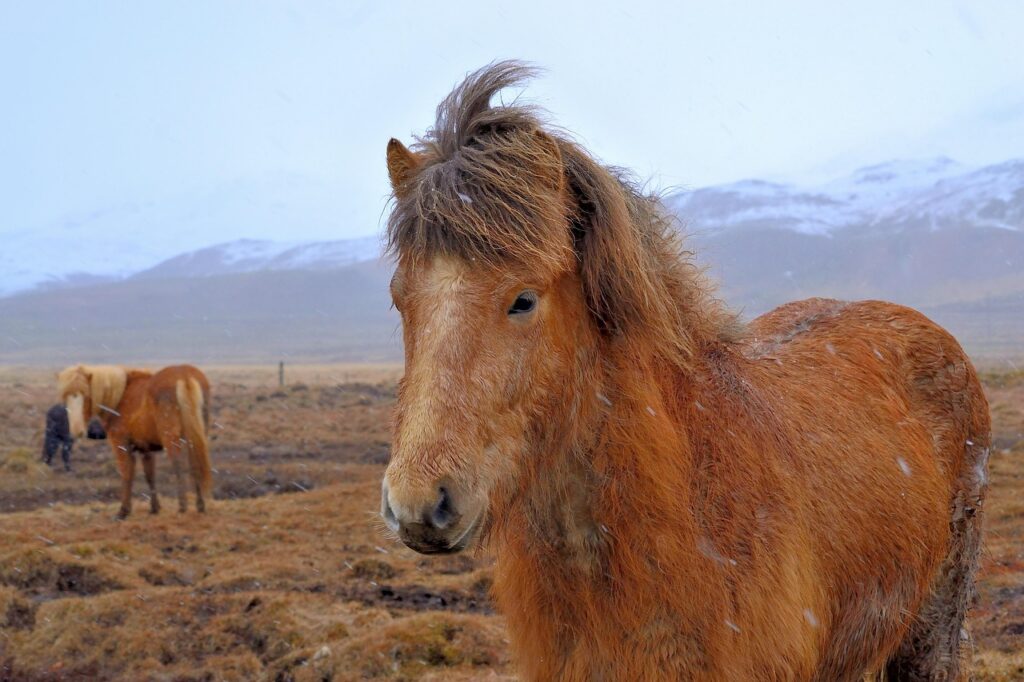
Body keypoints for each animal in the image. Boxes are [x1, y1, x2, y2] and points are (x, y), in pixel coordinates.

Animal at [58, 364, 212, 519]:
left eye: (87, 396)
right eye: (66, 397)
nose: (77, 430)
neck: (119, 397)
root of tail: (184, 375)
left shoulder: (121, 445)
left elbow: (127, 473)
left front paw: (123, 511)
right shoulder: (146, 449)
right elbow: (150, 476)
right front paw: (154, 508)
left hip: (172, 438)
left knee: (178, 464)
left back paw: (182, 507)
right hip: (195, 436)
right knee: (195, 464)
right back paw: (200, 506)